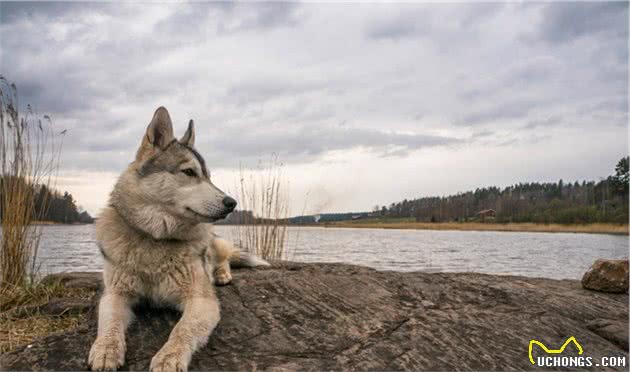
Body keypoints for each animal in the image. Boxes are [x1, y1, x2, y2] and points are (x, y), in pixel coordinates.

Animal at [88, 106, 266, 370]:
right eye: (189, 172)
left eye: (208, 176)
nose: (232, 203)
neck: (156, 238)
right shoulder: (115, 294)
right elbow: (109, 324)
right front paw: (106, 349)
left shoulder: (201, 300)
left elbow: (182, 330)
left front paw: (169, 357)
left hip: (216, 243)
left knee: (223, 258)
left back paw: (222, 274)